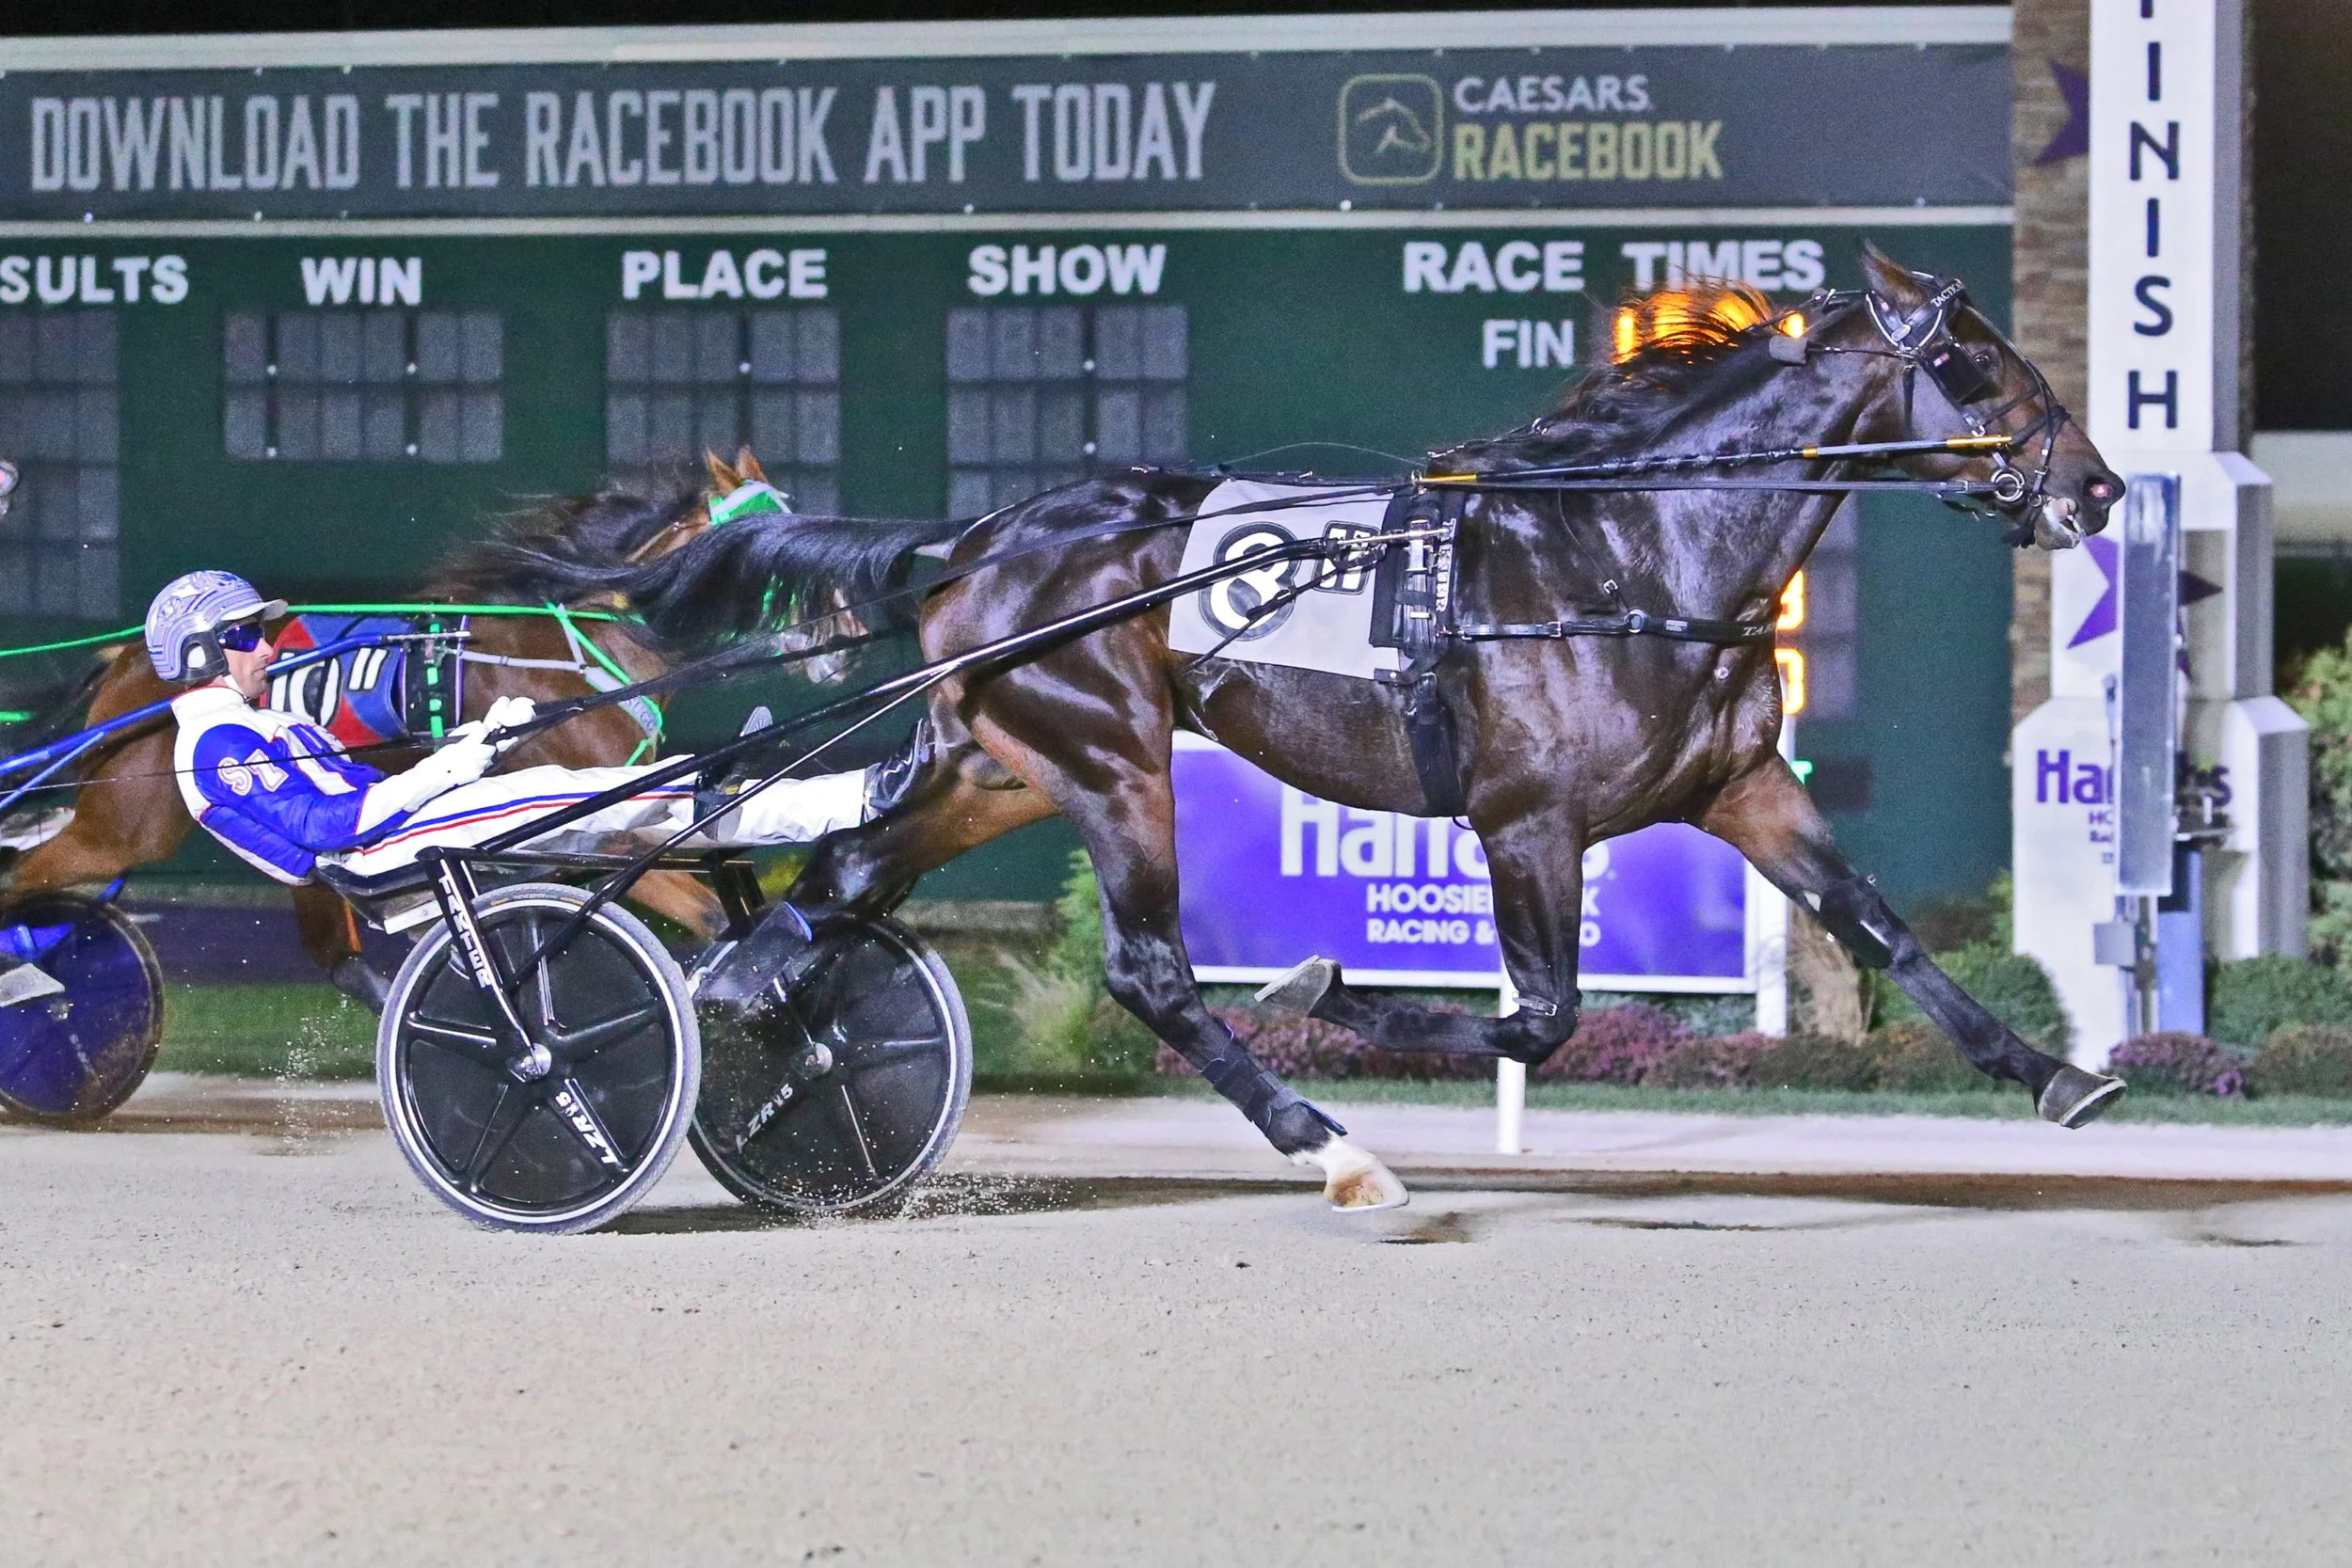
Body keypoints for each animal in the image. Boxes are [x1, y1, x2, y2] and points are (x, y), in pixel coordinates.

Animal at [0, 451, 783, 1005]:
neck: (583, 644)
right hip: (125, 825)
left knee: (336, 955)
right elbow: (698, 908)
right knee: (21, 879)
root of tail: (131, 661)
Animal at [571, 246, 2130, 1210]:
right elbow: (1542, 1013)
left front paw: (2058, 1075)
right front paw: (1327, 986)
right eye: (1977, 367)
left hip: (999, 763)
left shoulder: (1743, 781)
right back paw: (1327, 1145)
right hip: (1114, 758)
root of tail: (986, 537)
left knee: (831, 892)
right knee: (1148, 969)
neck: (1630, 547)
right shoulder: (1527, 819)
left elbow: (1879, 928)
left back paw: (758, 1016)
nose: (2099, 490)